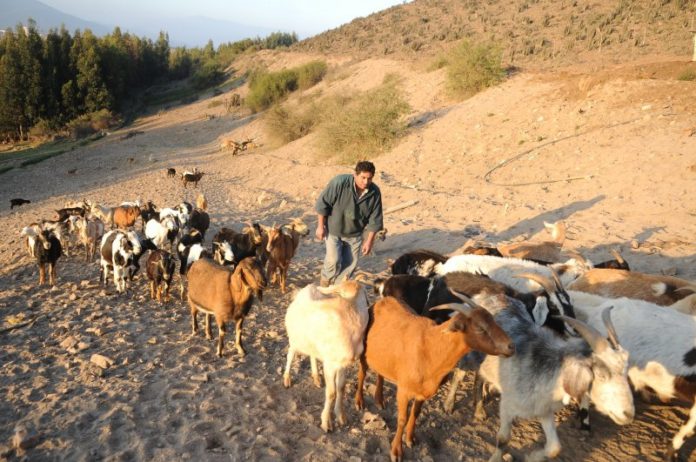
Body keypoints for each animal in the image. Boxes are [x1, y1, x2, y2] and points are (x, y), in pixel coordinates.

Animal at [356, 294, 512, 460]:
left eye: (493, 320)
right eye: (480, 328)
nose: (511, 346)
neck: (430, 346)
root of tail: (381, 300)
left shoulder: (422, 392)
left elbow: (415, 414)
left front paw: (410, 439)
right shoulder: (403, 391)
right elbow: (402, 419)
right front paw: (396, 451)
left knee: (380, 373)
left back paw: (379, 400)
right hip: (363, 351)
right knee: (362, 373)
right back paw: (359, 402)